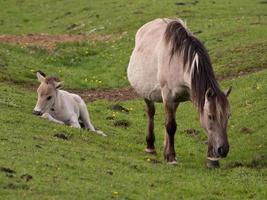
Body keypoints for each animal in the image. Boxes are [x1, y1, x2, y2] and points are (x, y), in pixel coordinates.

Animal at [128, 18, 232, 168]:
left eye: (228, 116)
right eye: (210, 116)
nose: (223, 150)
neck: (179, 61)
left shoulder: (181, 98)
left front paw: (212, 159)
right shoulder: (168, 96)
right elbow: (171, 126)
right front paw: (171, 157)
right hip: (147, 93)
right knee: (151, 112)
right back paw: (150, 146)